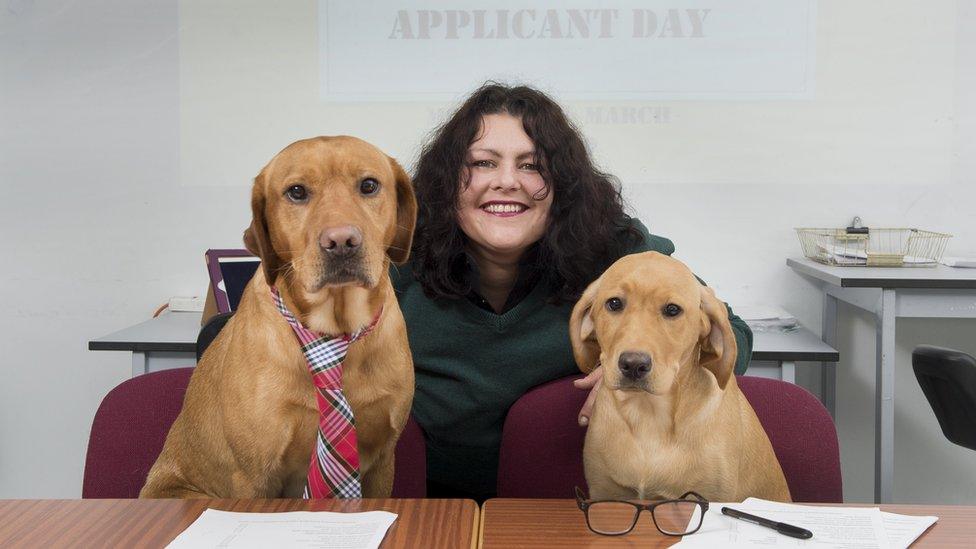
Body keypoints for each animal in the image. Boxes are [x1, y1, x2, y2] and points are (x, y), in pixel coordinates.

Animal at [141, 136, 416, 496]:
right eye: (296, 192)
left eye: (369, 185)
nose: (342, 241)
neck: (335, 330)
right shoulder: (253, 476)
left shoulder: (382, 460)